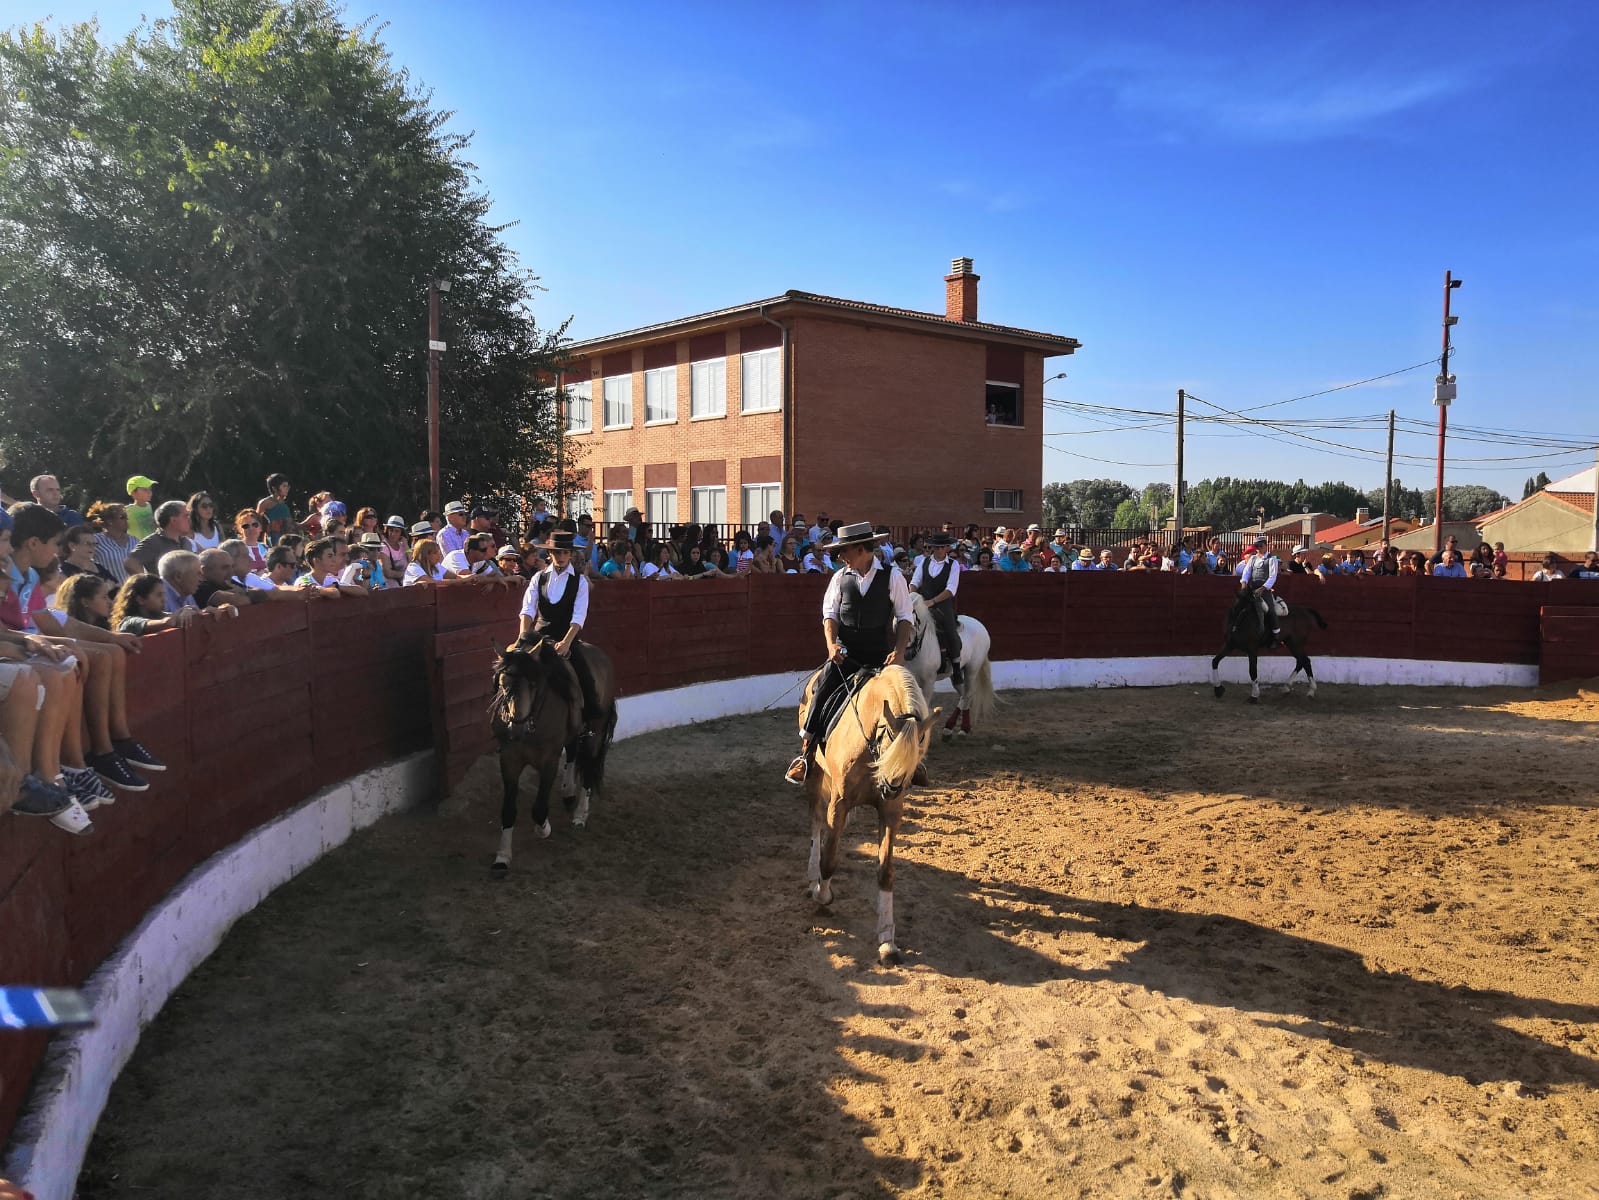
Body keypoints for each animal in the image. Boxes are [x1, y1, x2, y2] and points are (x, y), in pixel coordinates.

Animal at [489, 640, 614, 876]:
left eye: (533, 684)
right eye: (502, 683)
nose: (515, 730)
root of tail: (602, 656)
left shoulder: (549, 761)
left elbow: (539, 809)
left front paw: (544, 829)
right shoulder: (509, 760)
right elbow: (508, 810)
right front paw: (502, 857)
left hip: (596, 731)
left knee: (589, 767)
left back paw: (580, 815)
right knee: (573, 752)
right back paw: (568, 793)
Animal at [908, 598, 991, 739]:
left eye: (914, 620)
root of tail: (980, 625)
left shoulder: (929, 683)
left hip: (972, 670)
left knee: (968, 694)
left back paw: (960, 728)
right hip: (955, 675)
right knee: (964, 695)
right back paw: (952, 728)